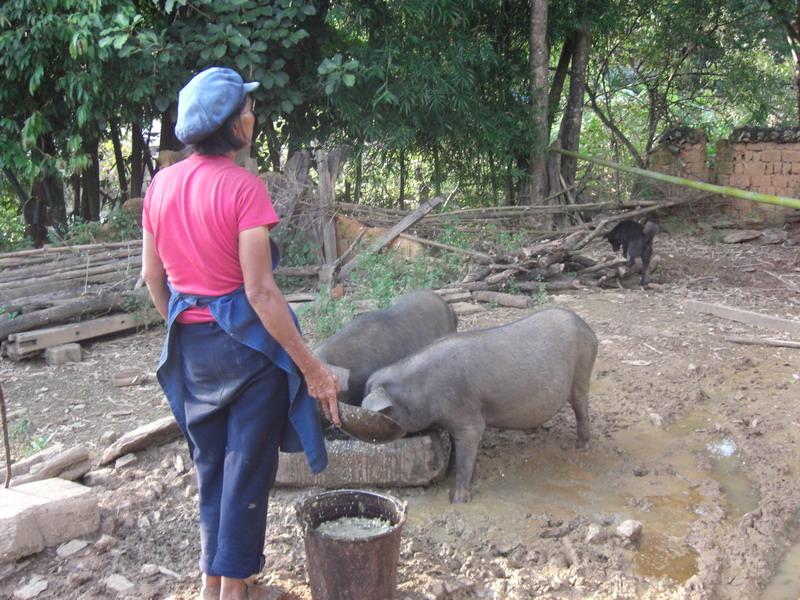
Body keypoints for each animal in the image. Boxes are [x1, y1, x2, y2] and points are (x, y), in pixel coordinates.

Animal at [362, 310, 592, 502]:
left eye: (381, 413)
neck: (421, 390)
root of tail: (587, 328)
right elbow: (456, 451)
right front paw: (448, 473)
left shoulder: (469, 421)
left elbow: (466, 457)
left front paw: (457, 500)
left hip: (582, 375)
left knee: (582, 411)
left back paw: (581, 447)